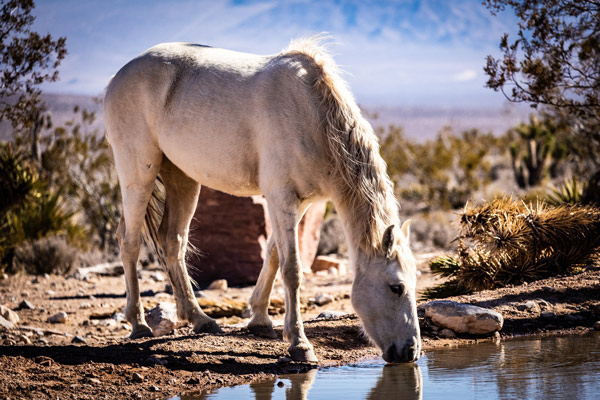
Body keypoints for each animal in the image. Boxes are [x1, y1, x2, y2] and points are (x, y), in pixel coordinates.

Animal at [104, 36, 422, 362]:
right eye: (396, 287)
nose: (410, 351)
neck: (313, 116)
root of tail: (119, 76)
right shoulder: (281, 197)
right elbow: (292, 269)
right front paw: (299, 344)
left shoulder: (298, 202)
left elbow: (272, 255)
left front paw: (259, 320)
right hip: (138, 174)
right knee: (129, 242)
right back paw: (139, 324)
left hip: (182, 177)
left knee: (173, 241)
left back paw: (199, 319)